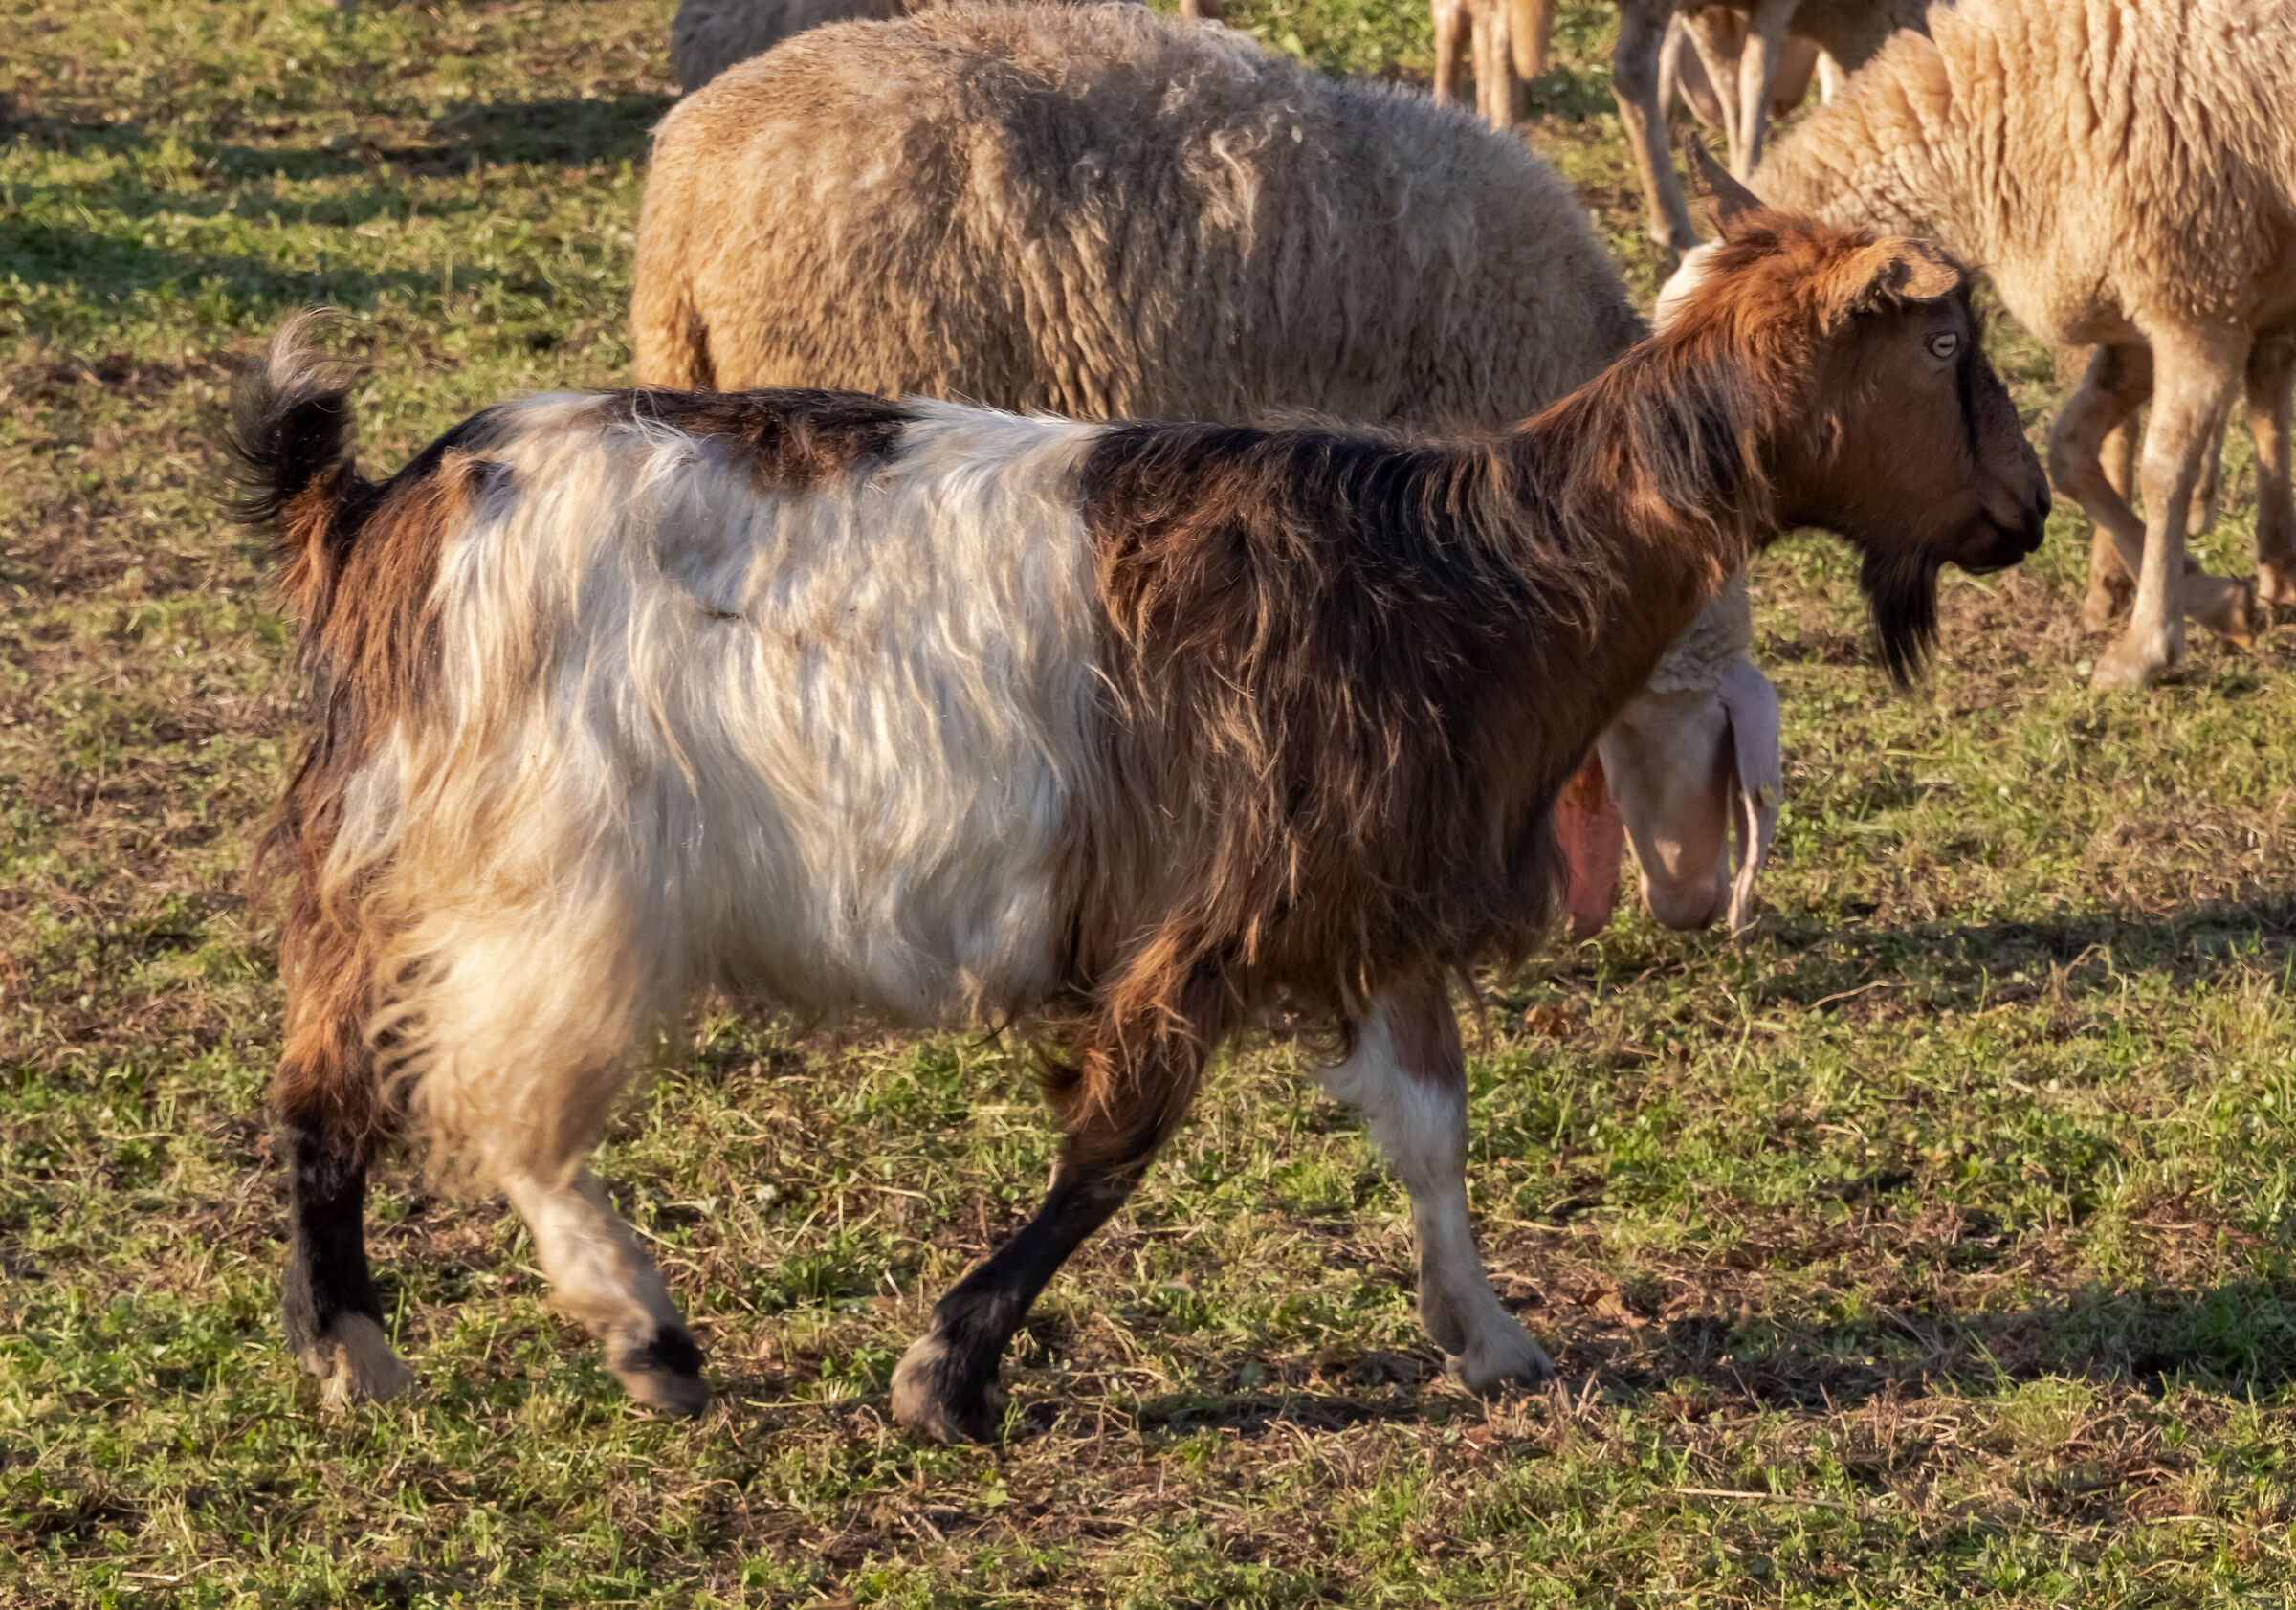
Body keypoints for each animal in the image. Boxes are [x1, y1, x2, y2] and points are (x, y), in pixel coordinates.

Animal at [230, 156, 2046, 1440]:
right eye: (1953, 344)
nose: (2027, 508)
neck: (1471, 570)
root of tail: (386, 502)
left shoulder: (1370, 897)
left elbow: (1433, 1126)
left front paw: (1490, 1334)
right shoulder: (1225, 903)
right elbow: (1119, 1135)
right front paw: (948, 1369)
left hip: (399, 854)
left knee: (326, 1078)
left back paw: (356, 1350)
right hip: (558, 862)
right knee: (505, 1099)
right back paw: (640, 1327)